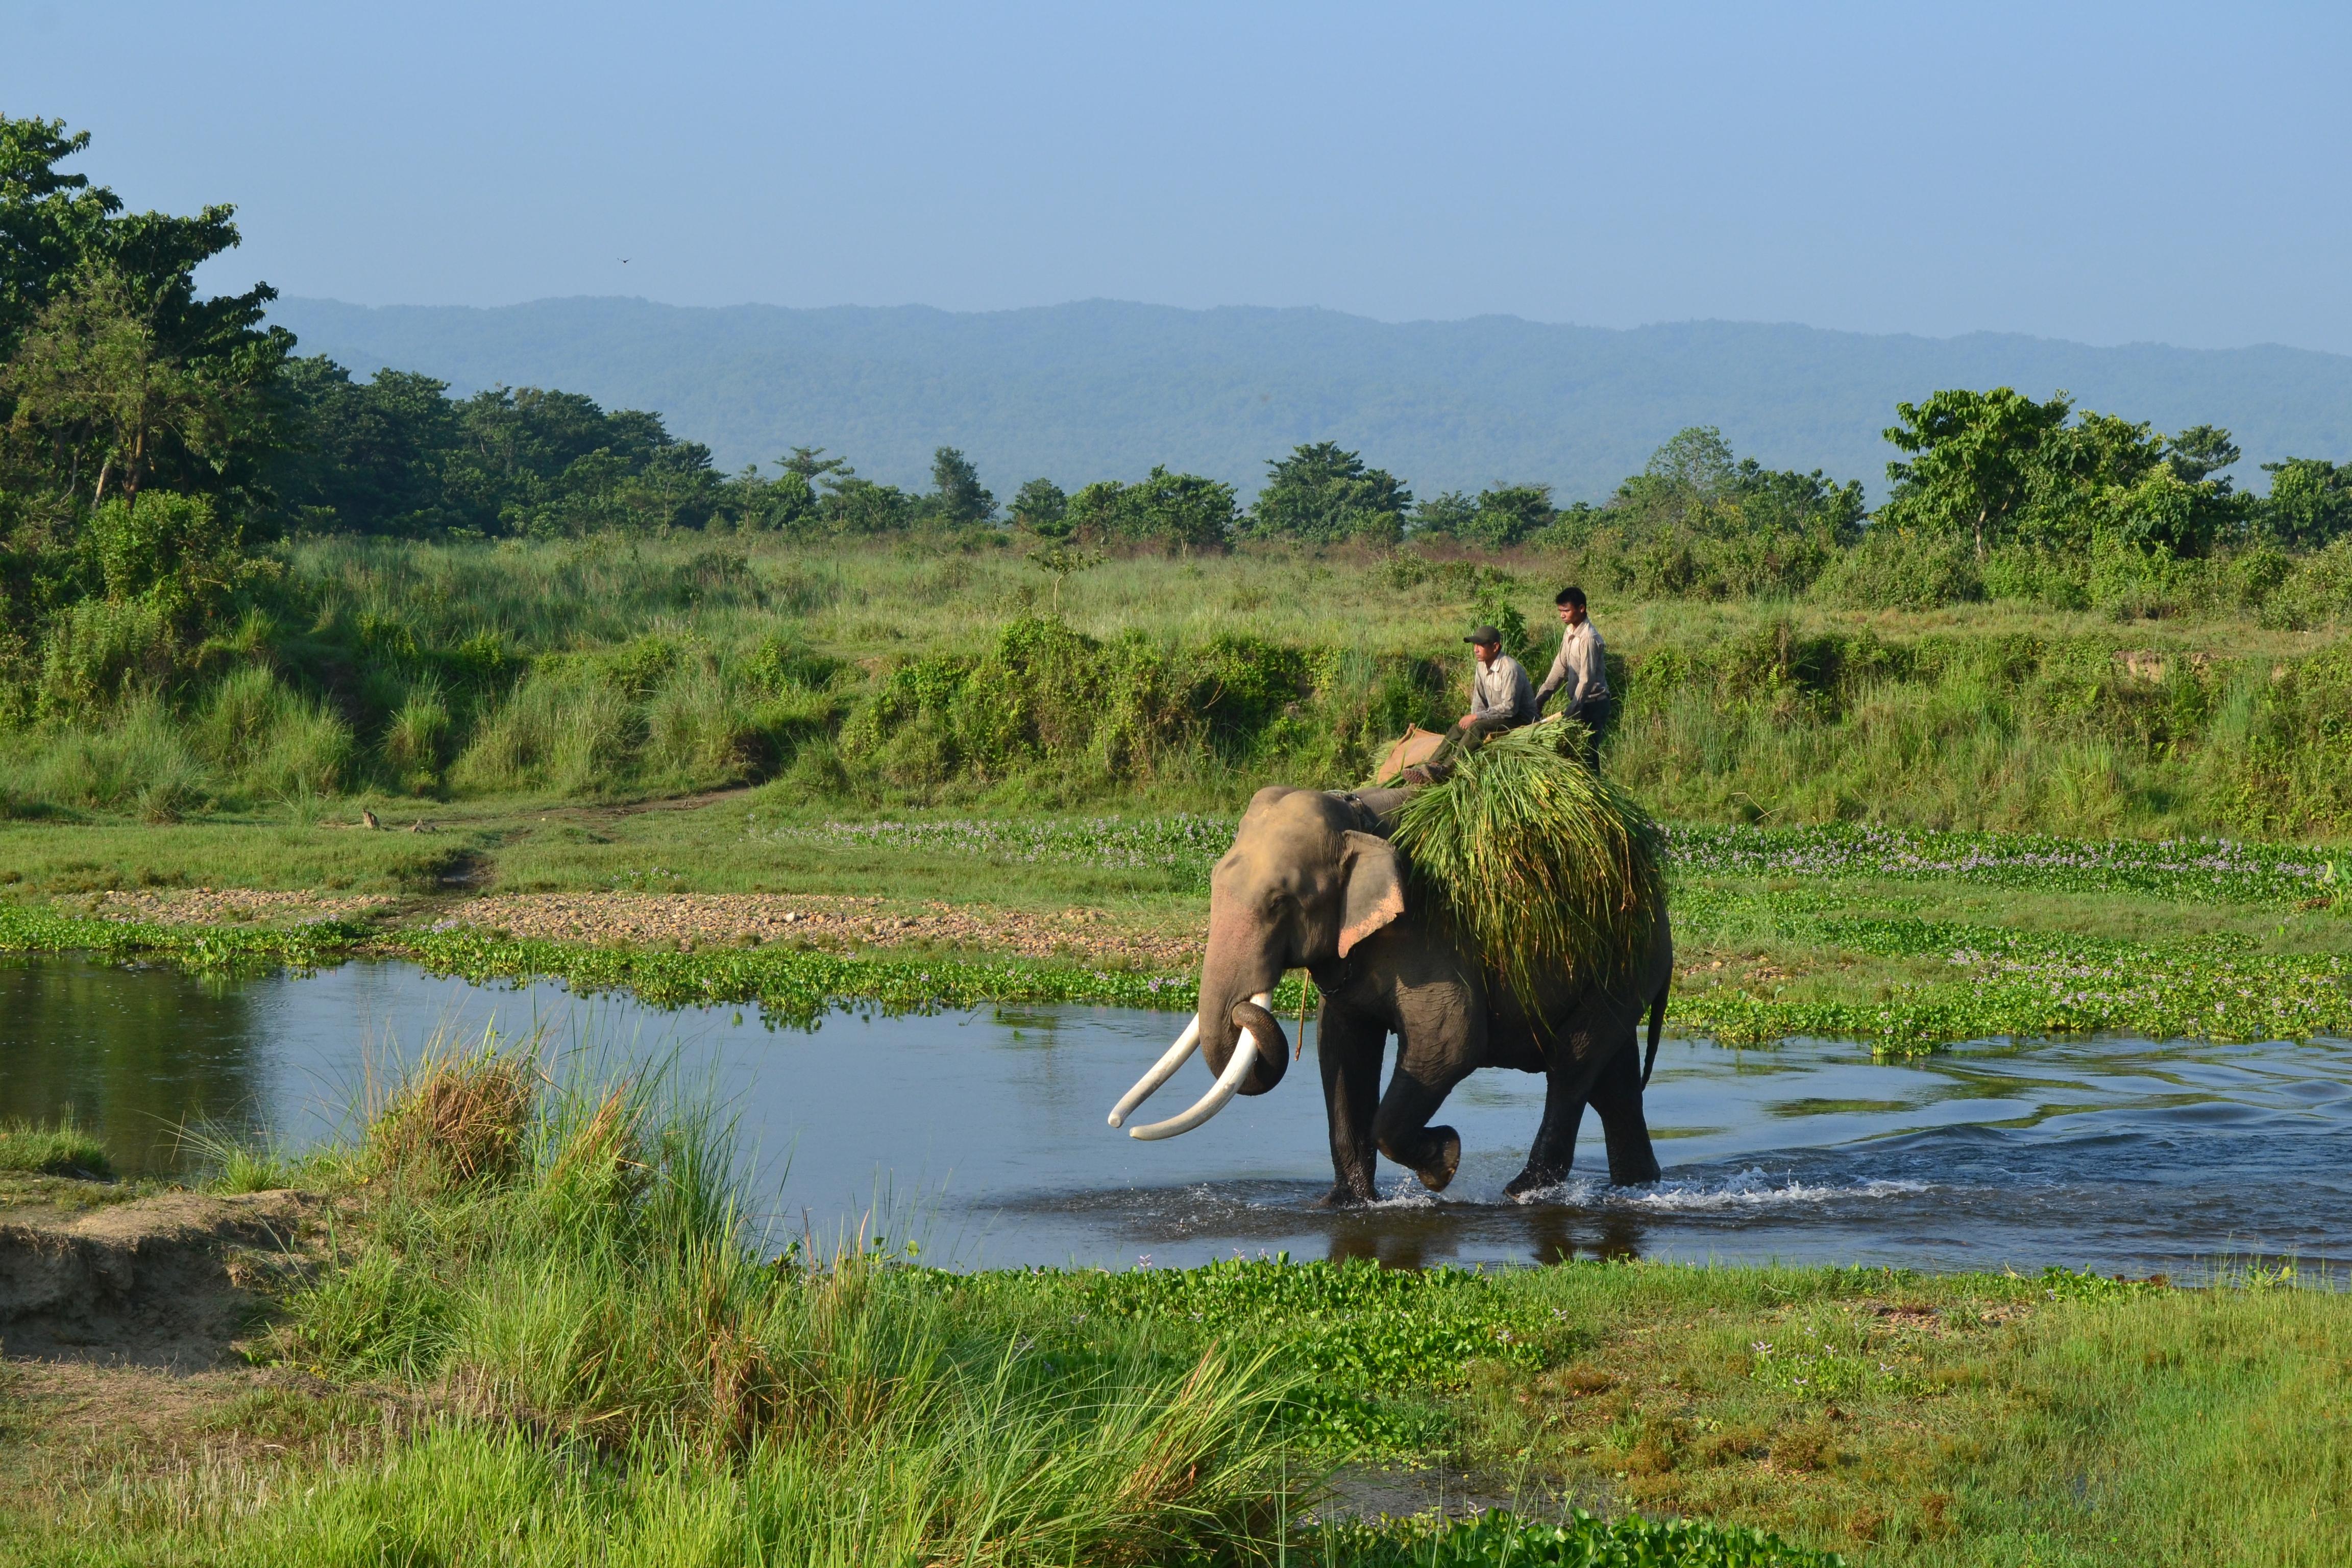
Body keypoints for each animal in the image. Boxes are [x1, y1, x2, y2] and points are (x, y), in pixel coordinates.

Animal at [1105, 780, 1674, 1204]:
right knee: (1614, 1083)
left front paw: (1444, 1162)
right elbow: (1342, 1046)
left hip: (1626, 957)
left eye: (1279, 903)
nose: (1116, 1126)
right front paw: (1347, 1204)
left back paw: (1522, 1192)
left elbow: (1450, 1041)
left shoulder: (1434, 927)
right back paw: (1638, 1187)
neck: (1355, 818)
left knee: (1572, 1066)